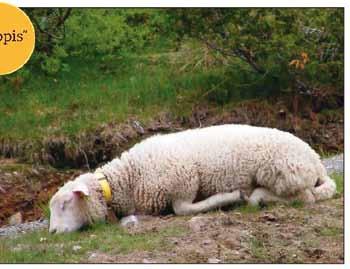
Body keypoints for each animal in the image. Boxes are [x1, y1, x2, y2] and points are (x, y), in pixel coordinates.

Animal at [47, 124, 334, 231]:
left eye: (65, 204)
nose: (52, 232)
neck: (129, 178)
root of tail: (316, 161)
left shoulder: (183, 183)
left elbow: (184, 210)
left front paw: (229, 196)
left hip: (283, 172)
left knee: (305, 197)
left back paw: (257, 196)